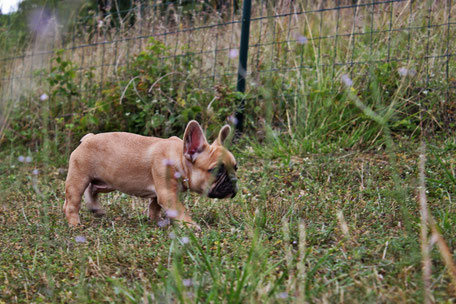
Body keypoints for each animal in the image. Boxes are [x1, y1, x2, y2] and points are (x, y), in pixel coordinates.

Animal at [62, 120, 239, 228]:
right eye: (216, 171)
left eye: (235, 168)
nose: (233, 180)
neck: (179, 158)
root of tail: (87, 138)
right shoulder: (168, 194)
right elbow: (180, 210)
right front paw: (191, 226)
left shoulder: (160, 194)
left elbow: (154, 207)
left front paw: (157, 221)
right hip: (79, 179)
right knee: (71, 203)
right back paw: (75, 224)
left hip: (107, 182)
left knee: (92, 189)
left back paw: (95, 208)